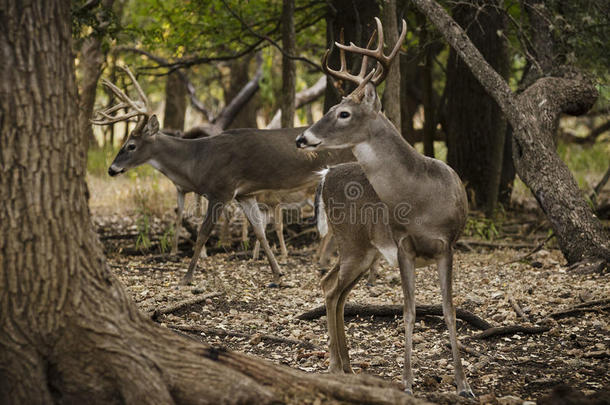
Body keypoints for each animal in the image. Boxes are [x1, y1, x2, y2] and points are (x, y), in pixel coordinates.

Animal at [92, 65, 354, 284]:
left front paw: (187, 277)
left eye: (131, 146)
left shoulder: (221, 190)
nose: (111, 169)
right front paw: (278, 275)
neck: (197, 160)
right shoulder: (244, 194)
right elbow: (260, 231)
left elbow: (203, 233)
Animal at [294, 17, 476, 396]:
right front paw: (406, 382)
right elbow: (409, 311)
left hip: (365, 250)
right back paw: (336, 364)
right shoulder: (403, 244)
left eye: (343, 113)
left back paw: (347, 364)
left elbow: (449, 310)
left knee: (335, 289)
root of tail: (326, 175)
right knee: (331, 288)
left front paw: (463, 384)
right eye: (329, 109)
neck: (422, 200)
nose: (301, 138)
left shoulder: (448, 246)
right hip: (352, 241)